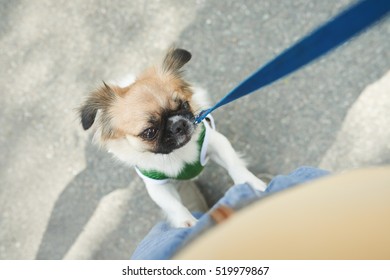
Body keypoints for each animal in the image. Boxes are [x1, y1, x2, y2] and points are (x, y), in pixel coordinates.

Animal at [79, 47, 268, 228]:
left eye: (184, 105)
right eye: (149, 132)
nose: (178, 124)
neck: (176, 152)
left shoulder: (217, 143)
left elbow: (235, 165)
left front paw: (253, 185)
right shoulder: (156, 185)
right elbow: (173, 205)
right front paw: (189, 224)